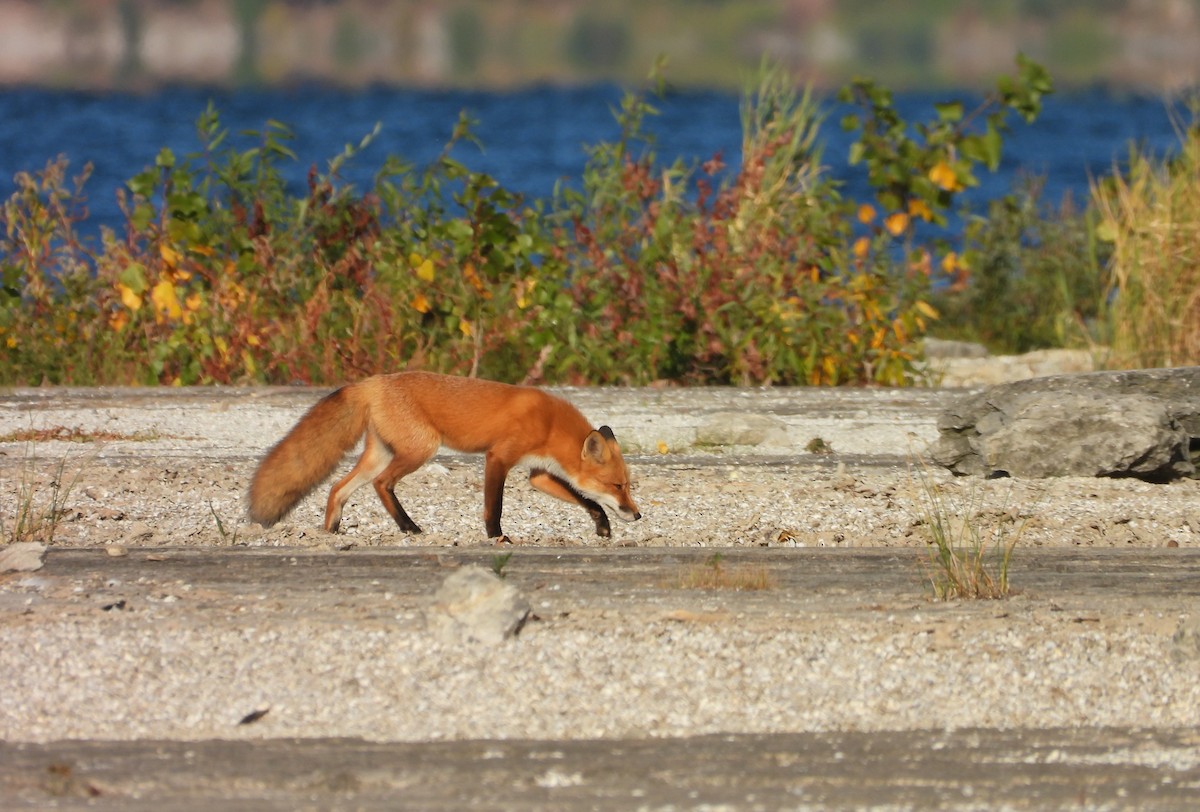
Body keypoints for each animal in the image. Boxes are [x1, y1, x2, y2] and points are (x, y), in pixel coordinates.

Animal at [248, 371, 641, 541]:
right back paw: (408, 527)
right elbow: (493, 507)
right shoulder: (498, 457)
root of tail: (371, 382)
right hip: (421, 449)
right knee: (381, 484)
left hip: (381, 454)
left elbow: (586, 500)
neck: (549, 424)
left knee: (338, 488)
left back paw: (331, 530)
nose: (637, 515)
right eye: (618, 485)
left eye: (627, 485)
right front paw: (496, 537)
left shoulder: (538, 474)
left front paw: (602, 524)